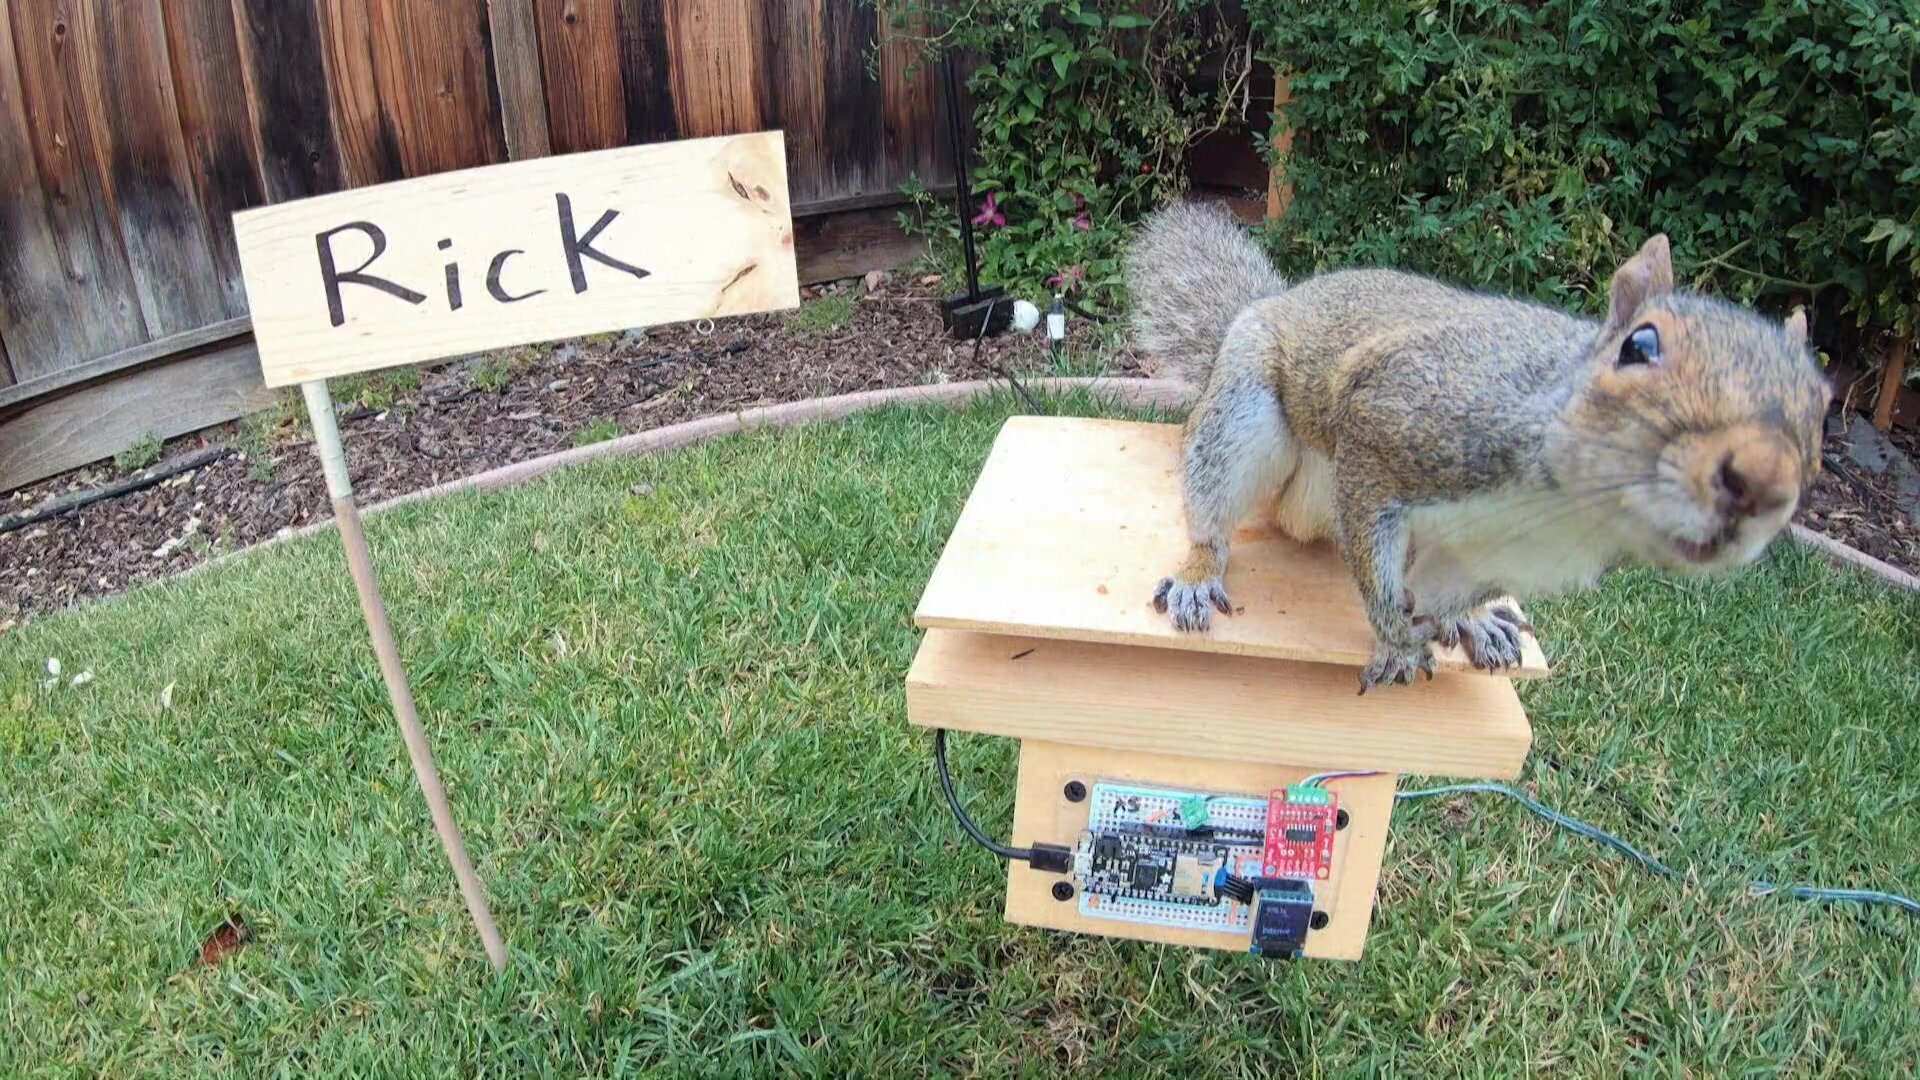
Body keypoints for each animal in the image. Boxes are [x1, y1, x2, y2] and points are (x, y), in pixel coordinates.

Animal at [1125, 202, 1830, 692]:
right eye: (1641, 346)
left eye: (1823, 400)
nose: (1763, 479)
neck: (1565, 504)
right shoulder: (1391, 429)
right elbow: (1380, 573)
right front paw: (1395, 641)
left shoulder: (1503, 557)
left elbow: (1452, 592)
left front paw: (1461, 618)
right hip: (1245, 416)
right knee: (1217, 502)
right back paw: (1199, 571)